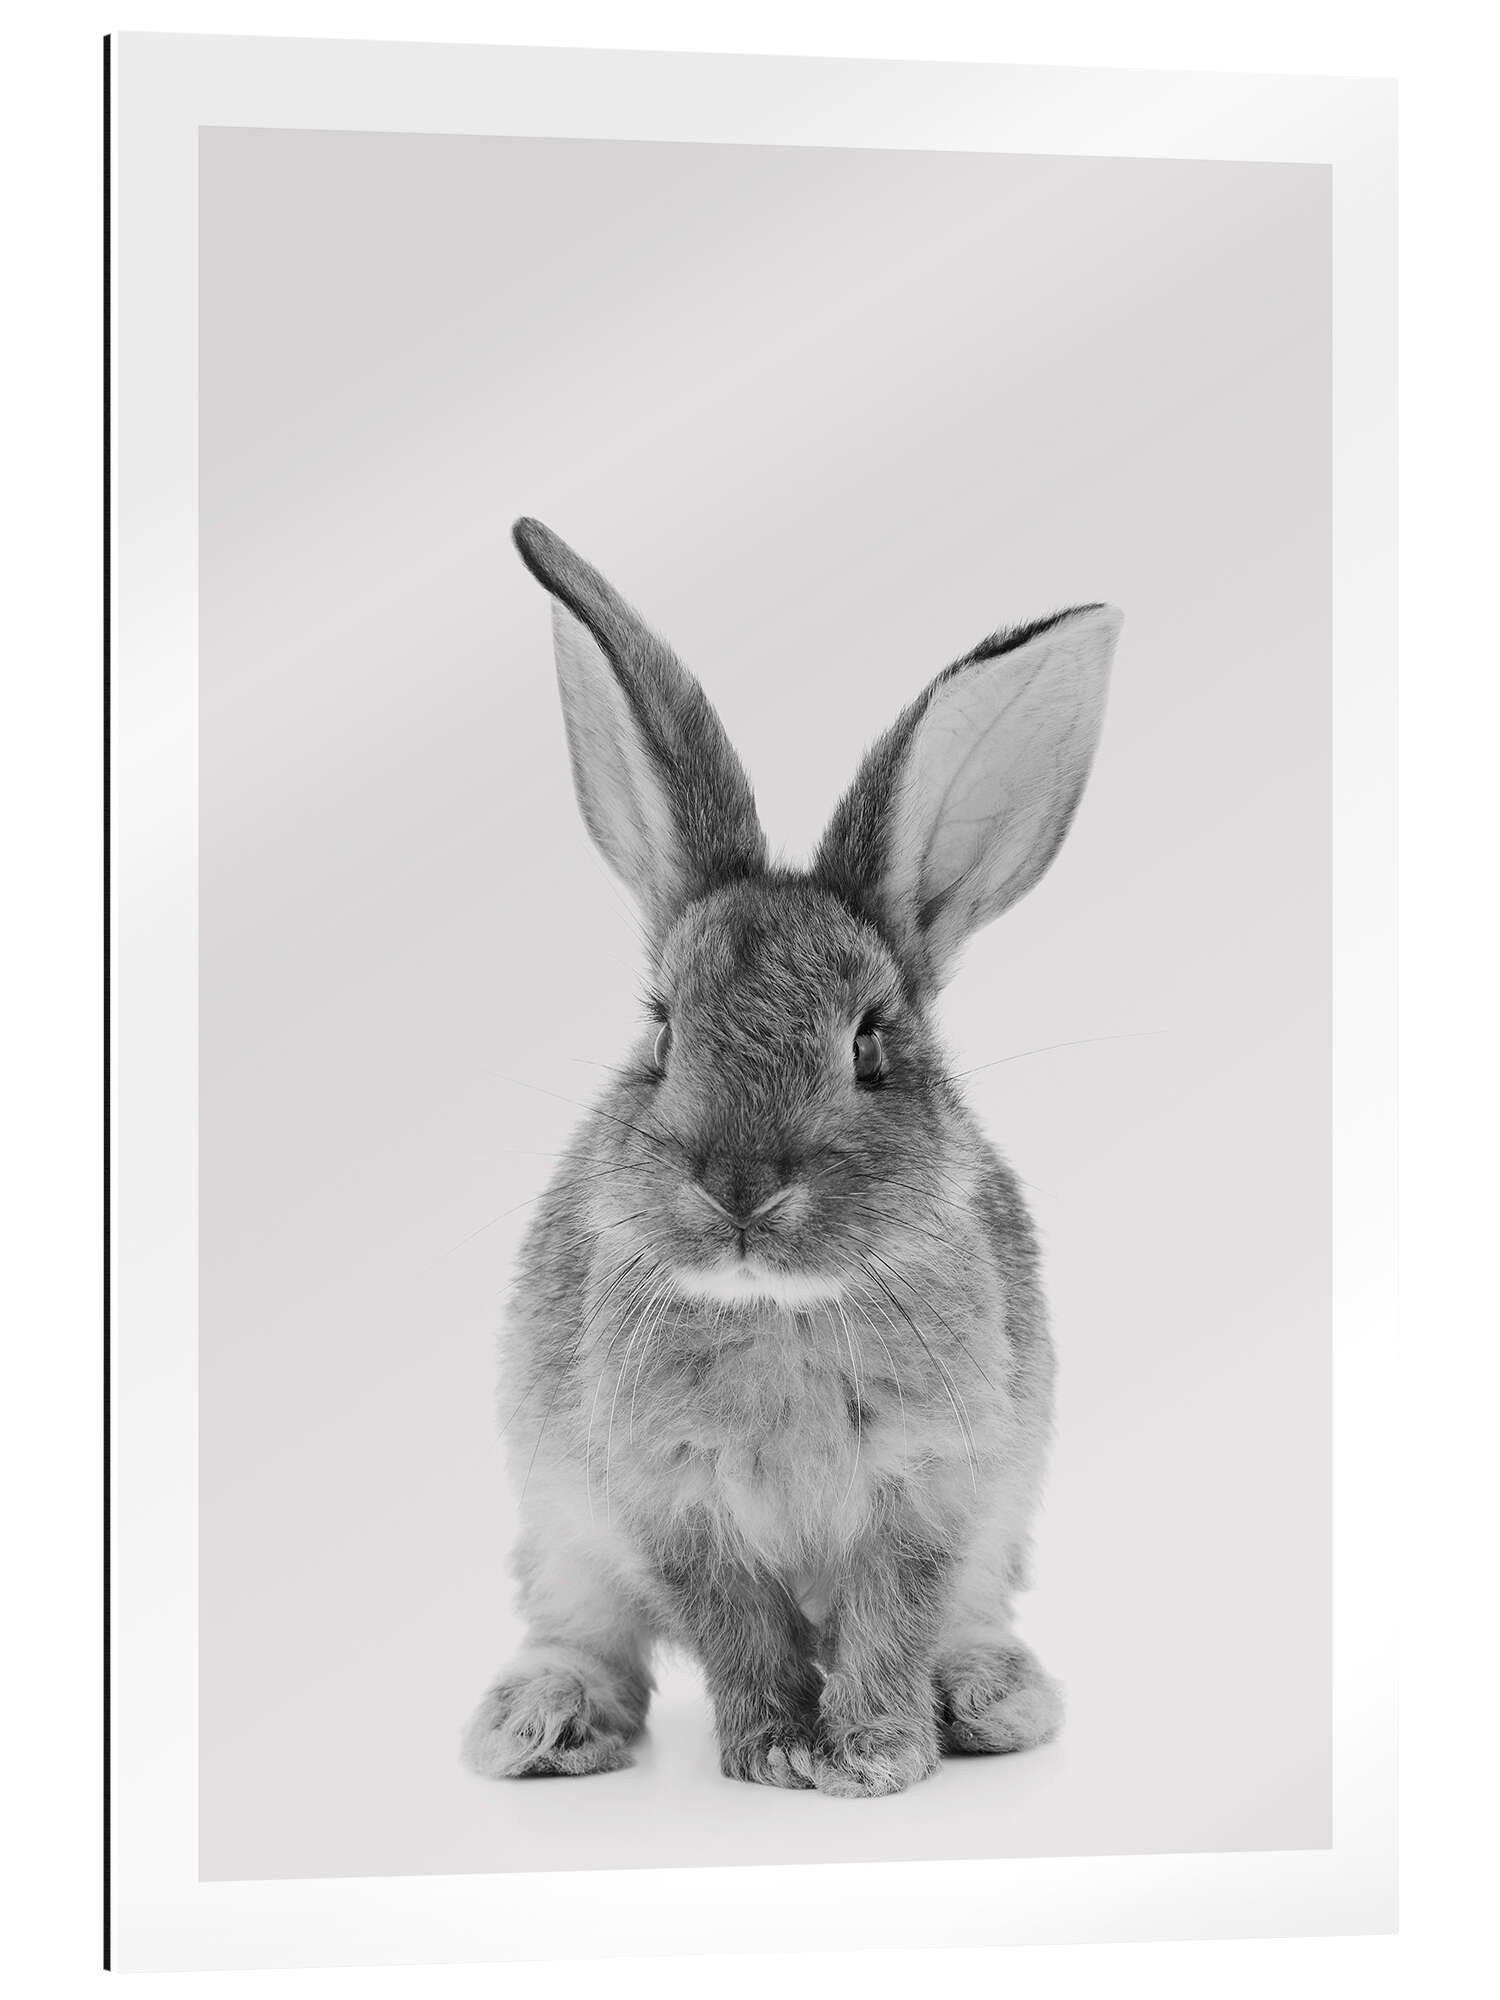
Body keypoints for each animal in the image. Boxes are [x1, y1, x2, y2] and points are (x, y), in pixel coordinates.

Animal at [461, 518, 1121, 1799]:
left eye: (871, 1044)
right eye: (663, 1032)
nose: (740, 1185)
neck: (784, 1310)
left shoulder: (933, 1494)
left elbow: (888, 1623)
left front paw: (873, 1755)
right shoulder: (672, 1502)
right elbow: (739, 1635)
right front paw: (774, 1754)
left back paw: (988, 1697)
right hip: (562, 1532)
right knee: (587, 1632)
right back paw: (540, 1721)